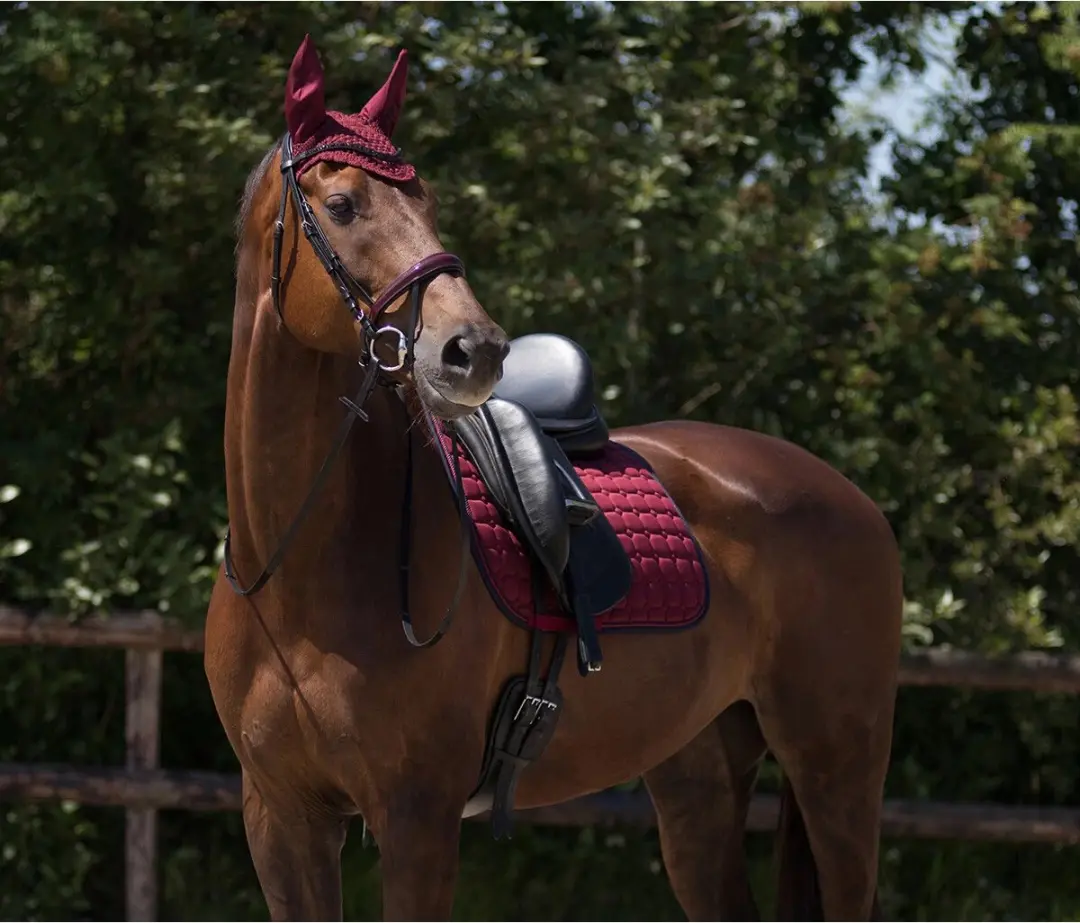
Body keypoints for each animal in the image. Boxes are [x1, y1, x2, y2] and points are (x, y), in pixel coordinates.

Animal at [204, 34, 904, 922]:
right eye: (342, 205)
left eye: (428, 202)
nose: (472, 349)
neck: (297, 567)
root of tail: (850, 498)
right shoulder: (282, 820)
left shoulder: (416, 817)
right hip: (699, 779)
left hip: (836, 770)